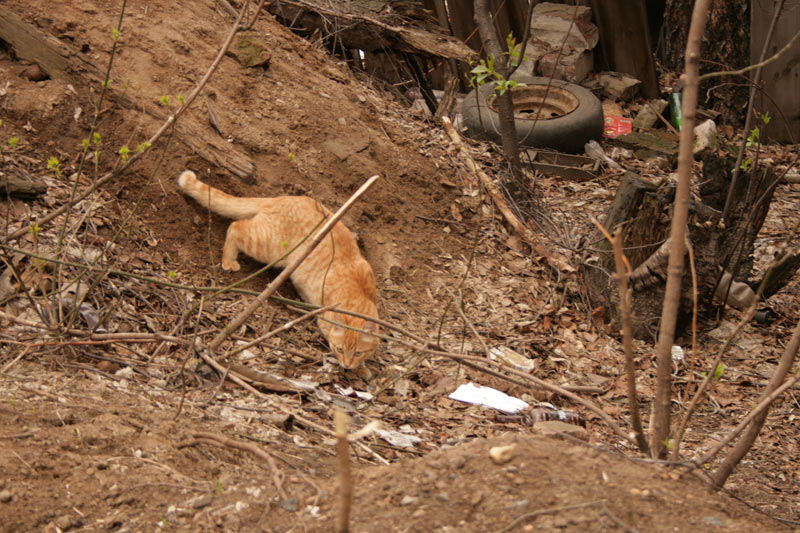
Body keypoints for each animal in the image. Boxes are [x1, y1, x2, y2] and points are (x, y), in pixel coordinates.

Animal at [180, 169, 380, 366]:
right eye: (340, 350)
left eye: (359, 353)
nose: (347, 365)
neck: (359, 297)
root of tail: (279, 198)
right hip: (268, 246)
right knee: (235, 227)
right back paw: (229, 260)